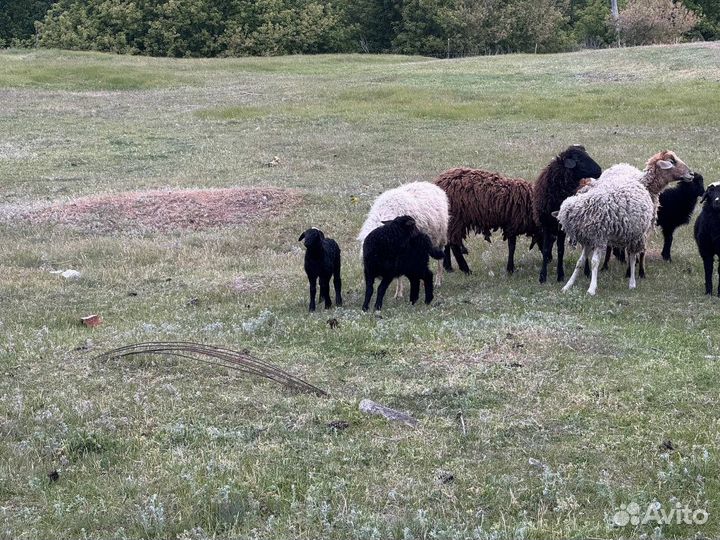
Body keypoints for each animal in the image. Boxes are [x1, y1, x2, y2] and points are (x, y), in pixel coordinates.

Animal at [532, 145, 603, 283]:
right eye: (579, 160)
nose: (600, 171)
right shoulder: (546, 225)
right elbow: (546, 249)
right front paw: (542, 276)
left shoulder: (561, 228)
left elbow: (561, 250)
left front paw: (560, 275)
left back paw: (587, 271)